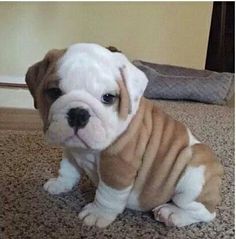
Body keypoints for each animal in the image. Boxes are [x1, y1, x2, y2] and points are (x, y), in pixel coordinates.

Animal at [25, 43, 223, 228]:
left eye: (108, 97)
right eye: (54, 92)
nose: (78, 113)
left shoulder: (117, 165)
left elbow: (107, 194)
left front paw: (98, 214)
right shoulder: (71, 150)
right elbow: (67, 169)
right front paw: (60, 184)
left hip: (192, 179)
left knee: (204, 212)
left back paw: (172, 214)